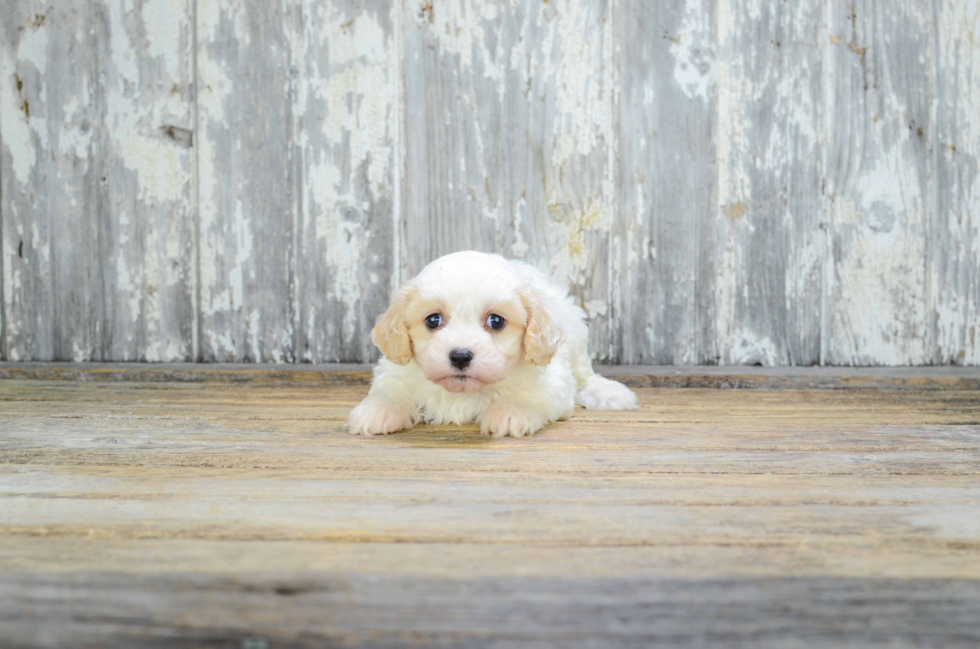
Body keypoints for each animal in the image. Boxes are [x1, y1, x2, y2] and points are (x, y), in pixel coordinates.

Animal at [348, 251, 640, 438]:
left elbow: (530, 395)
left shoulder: (552, 380)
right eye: (433, 320)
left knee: (584, 376)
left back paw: (608, 393)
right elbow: (390, 390)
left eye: (496, 321)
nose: (460, 356)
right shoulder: (395, 369)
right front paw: (377, 411)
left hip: (577, 334)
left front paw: (510, 413)